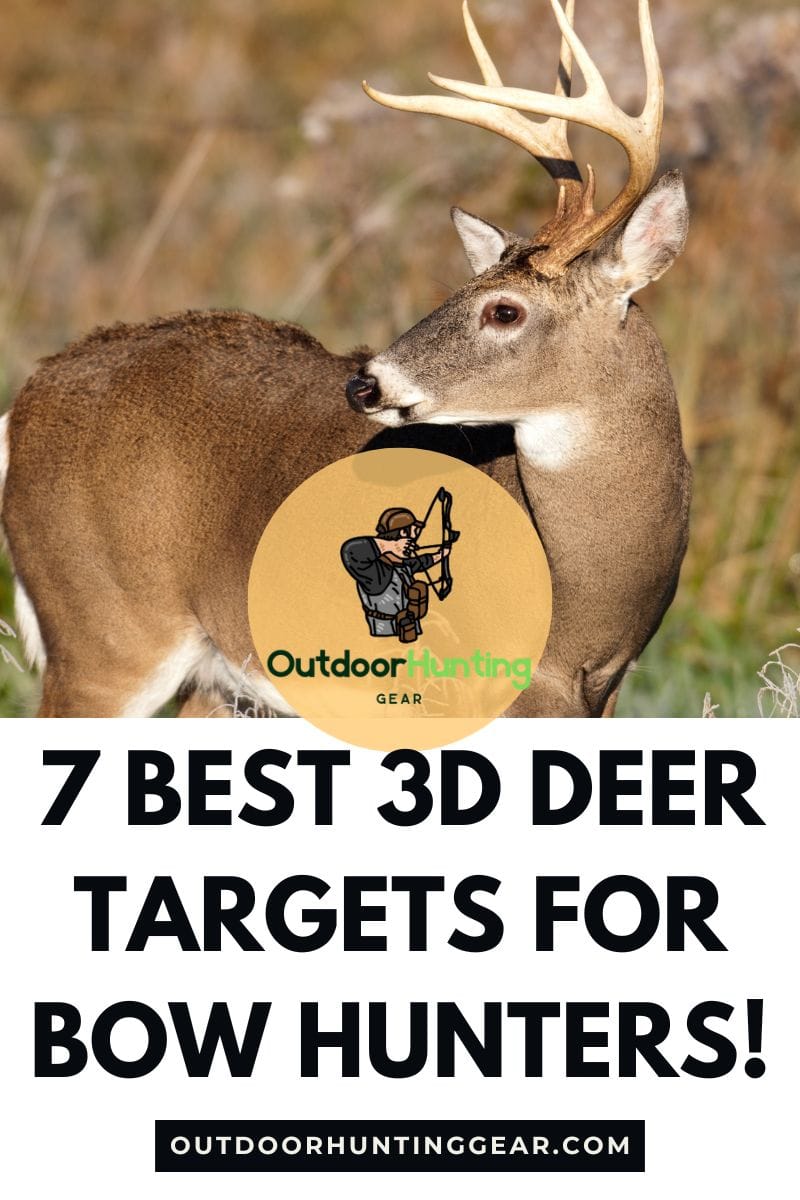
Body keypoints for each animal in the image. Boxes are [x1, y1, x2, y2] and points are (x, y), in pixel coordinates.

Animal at [0, 0, 690, 719]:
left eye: (504, 310)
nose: (365, 383)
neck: (586, 617)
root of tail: (25, 403)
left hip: (209, 674)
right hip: (105, 627)